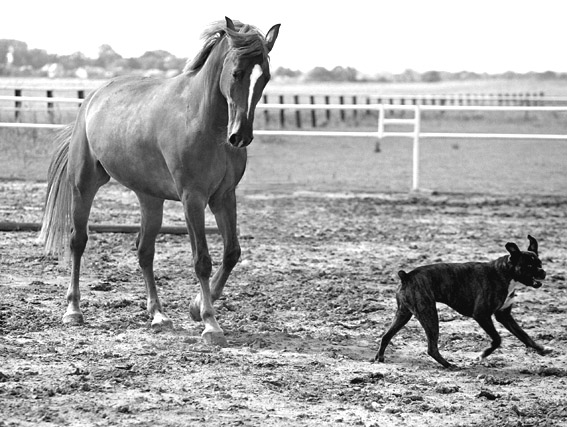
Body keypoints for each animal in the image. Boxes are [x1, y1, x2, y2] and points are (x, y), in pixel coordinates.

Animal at [37, 17, 280, 348]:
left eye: (264, 76)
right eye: (237, 72)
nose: (240, 135)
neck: (204, 121)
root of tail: (93, 97)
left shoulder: (224, 196)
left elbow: (231, 252)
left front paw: (195, 307)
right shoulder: (193, 198)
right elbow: (202, 260)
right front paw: (210, 323)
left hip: (150, 199)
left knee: (144, 251)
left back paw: (159, 316)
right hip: (84, 185)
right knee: (78, 241)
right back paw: (73, 311)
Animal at [374, 236, 552, 370]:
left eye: (540, 264)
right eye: (529, 265)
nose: (543, 272)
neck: (505, 272)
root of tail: (406, 276)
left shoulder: (504, 316)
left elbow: (524, 335)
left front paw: (541, 349)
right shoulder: (482, 315)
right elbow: (497, 339)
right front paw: (482, 355)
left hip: (403, 314)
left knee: (386, 335)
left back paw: (379, 357)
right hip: (429, 314)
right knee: (432, 348)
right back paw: (449, 365)